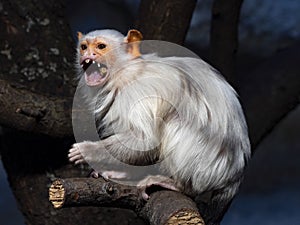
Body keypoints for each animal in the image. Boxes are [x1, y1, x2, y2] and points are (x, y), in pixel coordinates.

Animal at [68, 29, 251, 224]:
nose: (88, 55)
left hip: (206, 166)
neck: (124, 73)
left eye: (101, 46)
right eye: (84, 47)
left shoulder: (136, 94)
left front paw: (88, 151)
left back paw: (181, 185)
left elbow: (146, 139)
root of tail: (235, 175)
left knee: (174, 122)